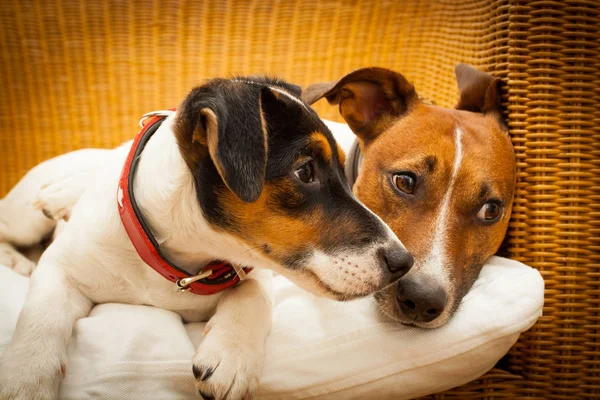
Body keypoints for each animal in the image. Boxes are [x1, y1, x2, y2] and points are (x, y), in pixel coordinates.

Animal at [0, 76, 412, 400]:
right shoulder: (62, 268)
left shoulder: (255, 268)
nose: (404, 262)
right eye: (305, 171)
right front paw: (25, 379)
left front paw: (232, 356)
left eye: (344, 171)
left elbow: (254, 294)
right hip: (23, 219)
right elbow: (42, 317)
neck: (176, 260)